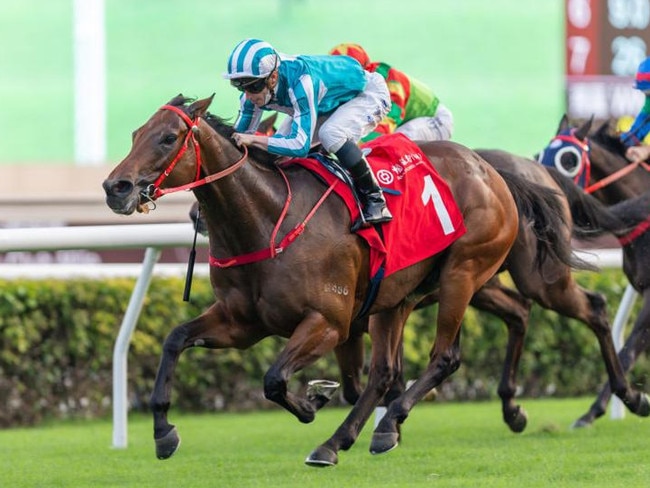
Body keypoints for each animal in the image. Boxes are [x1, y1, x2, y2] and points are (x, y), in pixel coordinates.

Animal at [102, 93, 528, 468]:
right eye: (136, 134)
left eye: (168, 138)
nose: (115, 188)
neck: (267, 222)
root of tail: (487, 167)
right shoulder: (242, 323)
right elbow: (175, 339)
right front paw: (163, 433)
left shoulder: (329, 323)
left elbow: (274, 378)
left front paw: (311, 403)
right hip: (397, 296)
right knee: (385, 372)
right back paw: (356, 438)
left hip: (464, 272)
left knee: (447, 355)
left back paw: (383, 424)